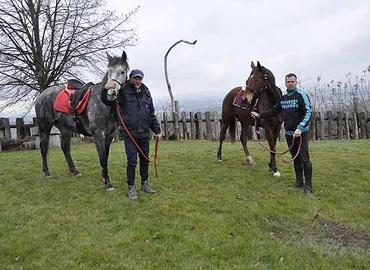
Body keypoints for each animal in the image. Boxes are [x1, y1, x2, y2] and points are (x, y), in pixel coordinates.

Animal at [35, 50, 129, 190]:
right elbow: (102, 158)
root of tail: (42, 95)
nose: (110, 93)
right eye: (109, 71)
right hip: (45, 126)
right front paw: (108, 183)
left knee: (65, 148)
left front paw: (104, 177)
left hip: (65, 129)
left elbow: (105, 156)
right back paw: (47, 172)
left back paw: (74, 170)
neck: (102, 102)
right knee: (44, 147)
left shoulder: (109, 135)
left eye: (122, 71)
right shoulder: (98, 135)